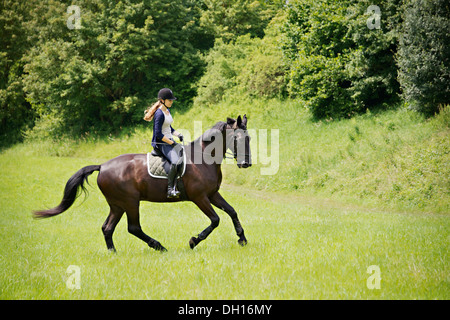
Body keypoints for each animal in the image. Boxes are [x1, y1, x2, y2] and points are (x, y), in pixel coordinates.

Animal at [34, 115, 253, 252]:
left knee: (107, 228)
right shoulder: (199, 197)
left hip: (117, 205)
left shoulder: (212, 194)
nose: (246, 163)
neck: (203, 158)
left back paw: (113, 253)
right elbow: (215, 219)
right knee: (133, 227)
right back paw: (159, 246)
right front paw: (193, 241)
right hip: (130, 202)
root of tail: (102, 166)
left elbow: (232, 211)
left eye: (249, 138)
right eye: (237, 138)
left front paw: (242, 239)